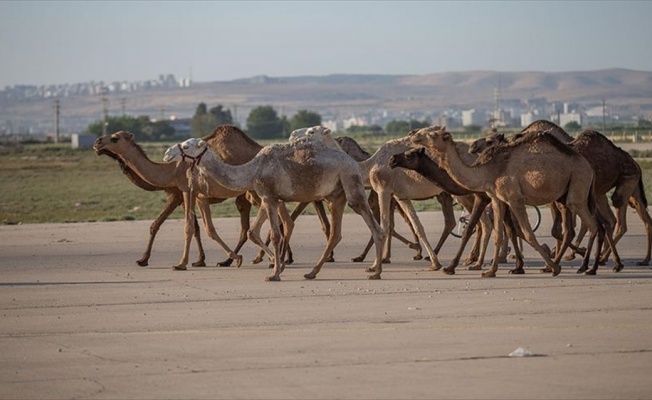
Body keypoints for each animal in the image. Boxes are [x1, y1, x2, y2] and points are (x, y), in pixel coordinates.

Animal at [164, 138, 388, 282]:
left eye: (186, 145)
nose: (167, 154)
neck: (252, 170)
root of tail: (355, 164)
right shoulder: (268, 198)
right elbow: (258, 232)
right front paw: (275, 264)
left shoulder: (269, 197)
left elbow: (275, 234)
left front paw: (274, 273)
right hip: (336, 195)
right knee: (335, 233)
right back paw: (312, 273)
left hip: (350, 182)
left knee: (374, 227)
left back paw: (376, 272)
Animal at [410, 126, 620, 276]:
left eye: (432, 134)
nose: (413, 135)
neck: (489, 170)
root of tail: (588, 166)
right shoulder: (498, 199)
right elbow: (500, 234)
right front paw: (490, 271)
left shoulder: (515, 198)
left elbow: (527, 233)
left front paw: (553, 268)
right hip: (569, 194)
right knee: (590, 226)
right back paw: (591, 265)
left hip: (577, 186)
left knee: (593, 225)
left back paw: (588, 267)